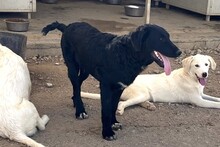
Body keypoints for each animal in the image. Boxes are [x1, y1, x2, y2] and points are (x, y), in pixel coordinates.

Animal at [42, 21, 181, 140]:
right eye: (161, 39)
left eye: (168, 37)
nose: (179, 52)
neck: (127, 54)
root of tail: (67, 26)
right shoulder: (106, 87)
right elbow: (106, 111)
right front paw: (107, 133)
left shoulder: (119, 88)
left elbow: (113, 107)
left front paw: (114, 123)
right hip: (72, 67)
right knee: (76, 85)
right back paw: (80, 111)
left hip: (86, 70)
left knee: (78, 85)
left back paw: (76, 102)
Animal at [81, 54, 220, 115]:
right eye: (196, 65)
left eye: (206, 65)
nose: (204, 74)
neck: (190, 77)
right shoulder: (198, 100)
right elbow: (214, 104)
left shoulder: (201, 94)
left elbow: (215, 98)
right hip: (142, 93)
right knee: (122, 102)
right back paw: (121, 109)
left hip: (145, 95)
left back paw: (149, 105)